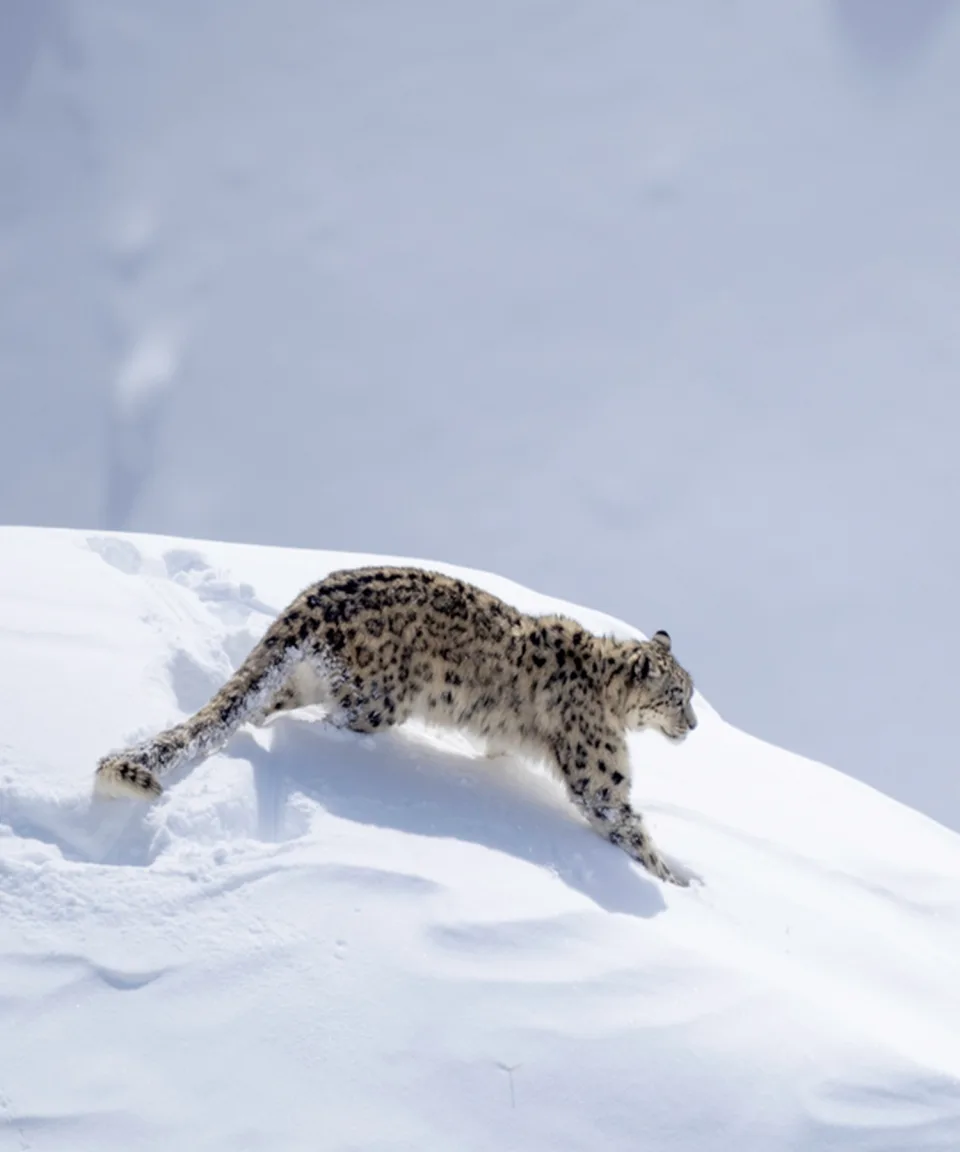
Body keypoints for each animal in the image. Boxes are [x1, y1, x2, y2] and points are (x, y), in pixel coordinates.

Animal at [95, 566, 698, 885]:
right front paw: (677, 881)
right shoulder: (600, 778)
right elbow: (628, 825)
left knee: (261, 706)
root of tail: (308, 600)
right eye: (678, 695)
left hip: (307, 682)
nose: (694, 724)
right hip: (375, 701)